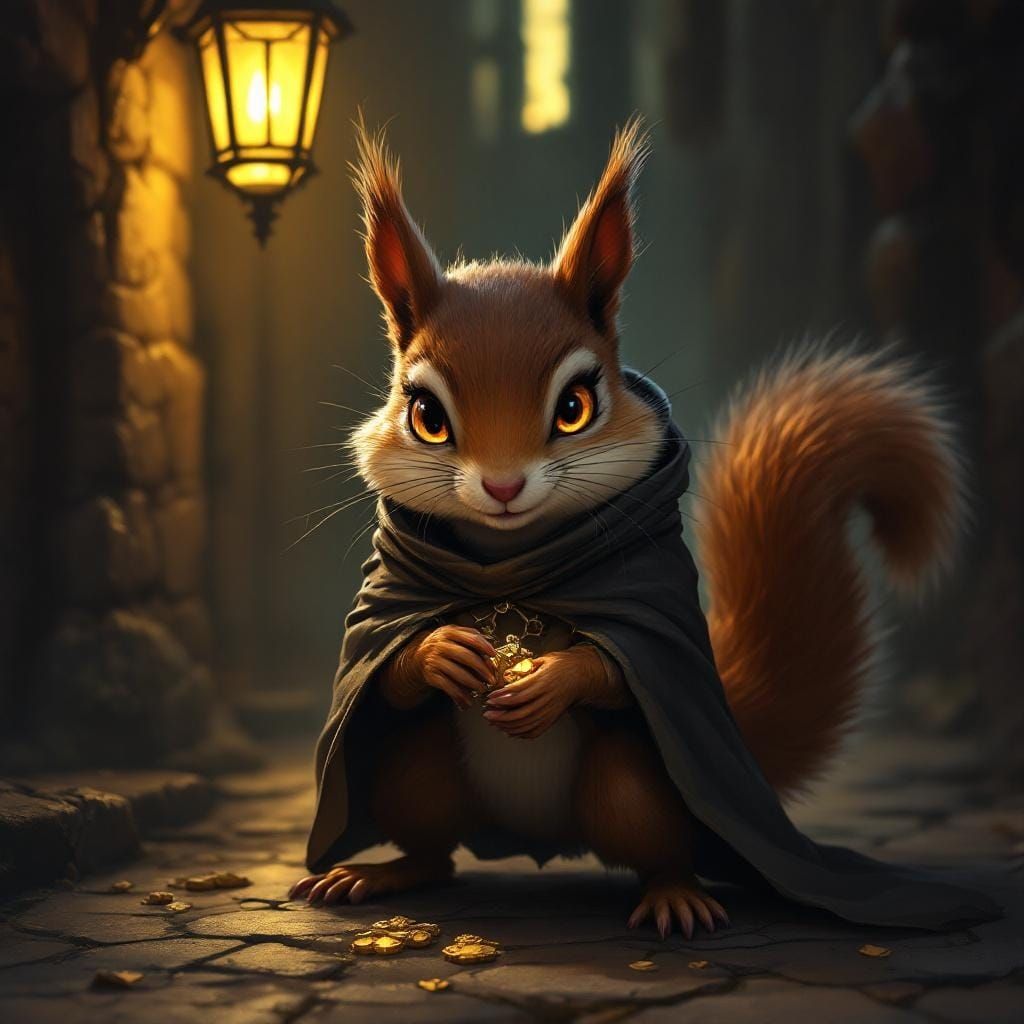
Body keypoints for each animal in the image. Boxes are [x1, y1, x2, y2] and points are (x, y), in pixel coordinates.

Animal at [290, 119, 963, 938]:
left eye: (576, 406)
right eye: (426, 416)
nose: (503, 486)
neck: (511, 563)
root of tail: (541, 839)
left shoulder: (654, 606)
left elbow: (618, 668)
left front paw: (559, 675)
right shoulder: (382, 600)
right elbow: (385, 669)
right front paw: (440, 649)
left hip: (635, 788)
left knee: (654, 837)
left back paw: (675, 895)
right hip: (417, 774)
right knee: (434, 845)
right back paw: (381, 873)